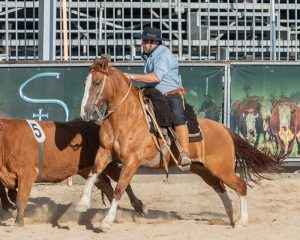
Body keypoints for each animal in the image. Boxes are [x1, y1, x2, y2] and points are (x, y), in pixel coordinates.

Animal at [76, 57, 282, 232]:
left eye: (97, 82)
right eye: (84, 83)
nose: (85, 113)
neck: (127, 118)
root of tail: (224, 129)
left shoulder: (132, 161)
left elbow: (119, 188)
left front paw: (106, 222)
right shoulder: (104, 152)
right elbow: (94, 173)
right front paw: (82, 203)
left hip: (222, 168)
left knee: (241, 186)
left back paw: (241, 221)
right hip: (203, 169)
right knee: (220, 188)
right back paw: (232, 216)